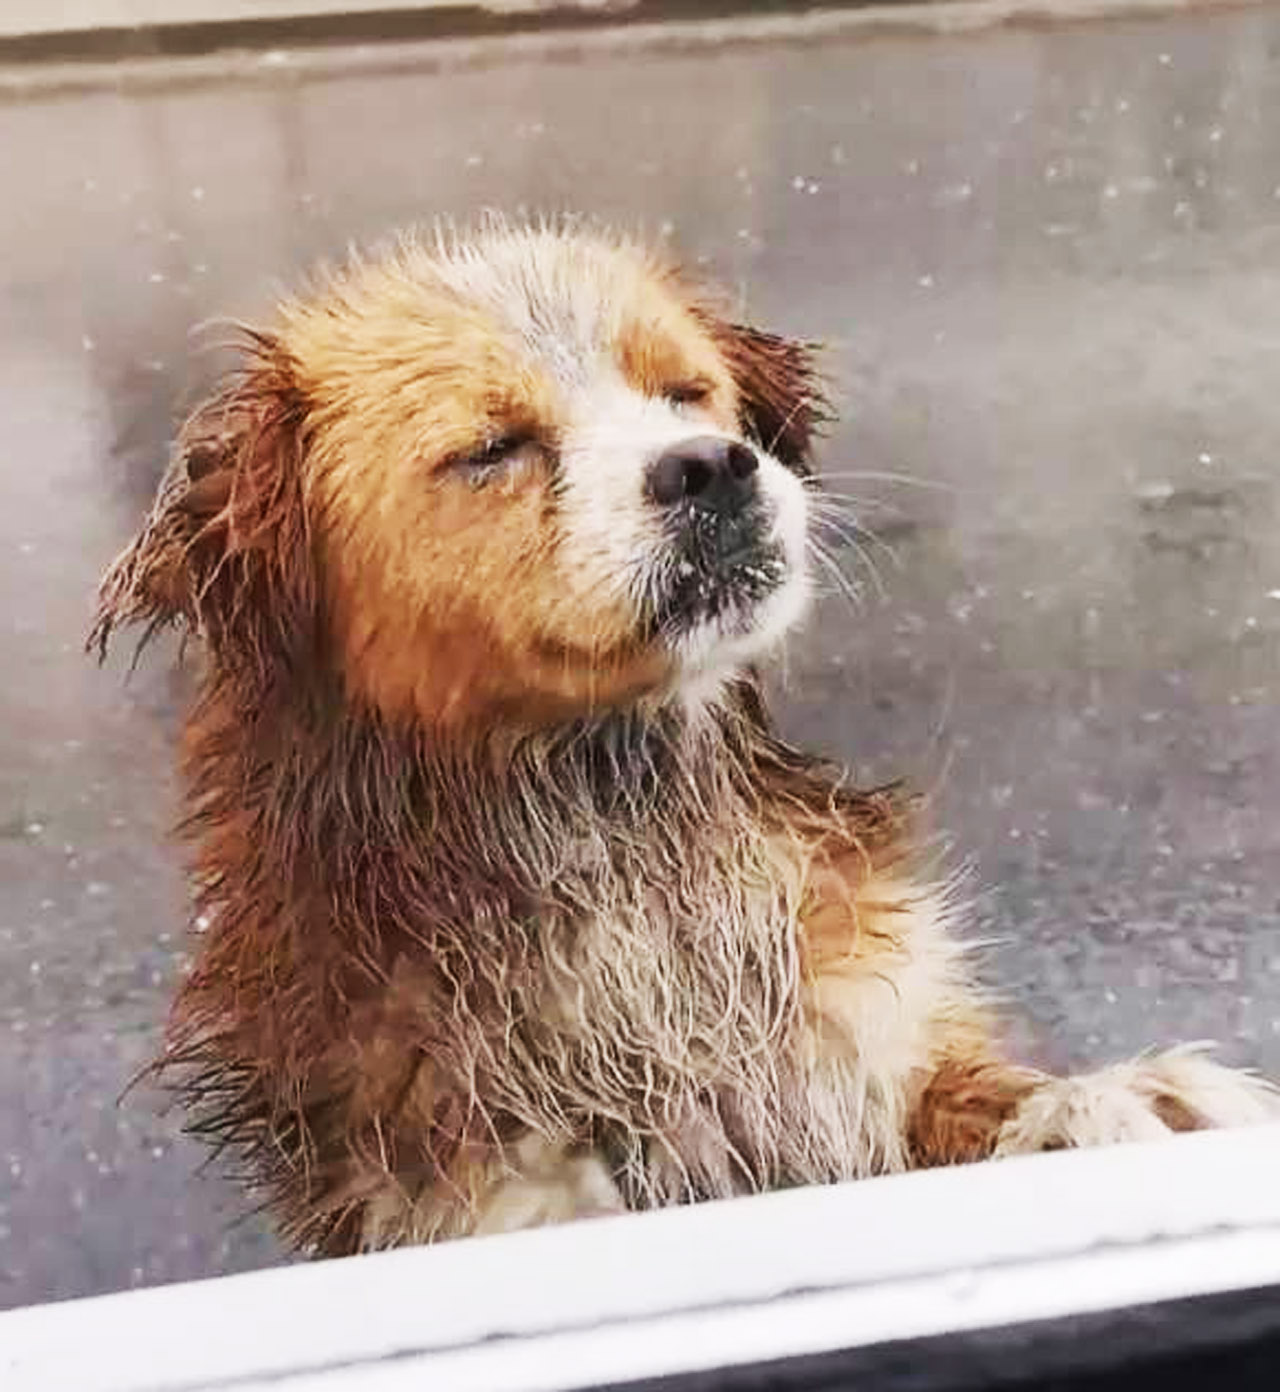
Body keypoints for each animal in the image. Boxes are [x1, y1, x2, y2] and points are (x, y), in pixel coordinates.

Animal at [95, 219, 1274, 1252]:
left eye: (684, 393)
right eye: (490, 449)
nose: (710, 466)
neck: (622, 831)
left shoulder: (865, 1043)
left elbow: (966, 1093)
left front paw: (1108, 1107)